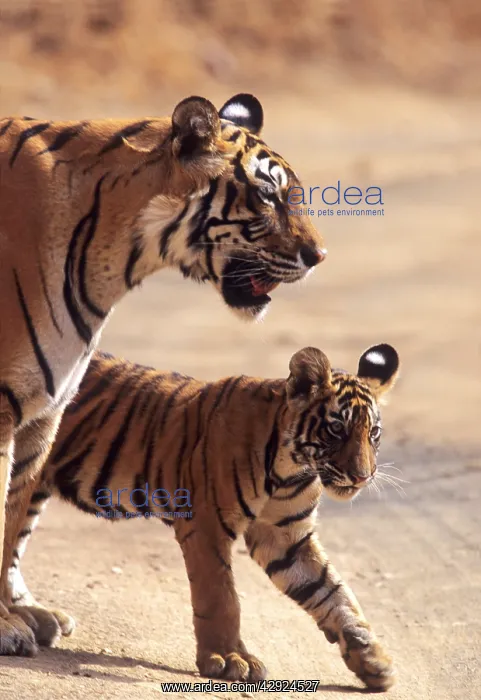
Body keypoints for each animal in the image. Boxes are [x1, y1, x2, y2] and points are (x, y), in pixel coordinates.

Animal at [0, 93, 326, 656]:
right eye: (267, 196)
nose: (319, 256)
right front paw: (2, 625)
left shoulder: (44, 410)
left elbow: (11, 521)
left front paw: (11, 614)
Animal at [11, 343, 399, 689]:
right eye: (337, 429)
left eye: (373, 433)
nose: (363, 476)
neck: (292, 469)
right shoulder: (207, 523)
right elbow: (221, 597)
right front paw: (229, 659)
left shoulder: (285, 538)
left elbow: (333, 593)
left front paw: (372, 659)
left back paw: (37, 618)